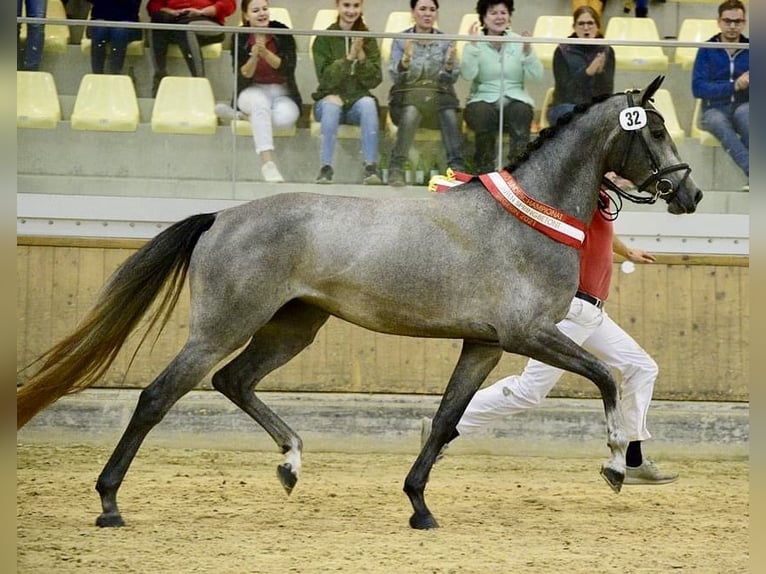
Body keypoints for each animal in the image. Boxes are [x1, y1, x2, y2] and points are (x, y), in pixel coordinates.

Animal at [16, 75, 704, 532]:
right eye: (656, 130)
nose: (690, 193)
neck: (530, 218)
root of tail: (220, 217)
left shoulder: (483, 344)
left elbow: (446, 419)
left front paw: (419, 506)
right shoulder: (528, 334)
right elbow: (607, 377)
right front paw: (615, 464)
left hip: (293, 327)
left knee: (233, 381)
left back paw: (291, 463)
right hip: (224, 326)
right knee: (159, 396)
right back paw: (109, 503)